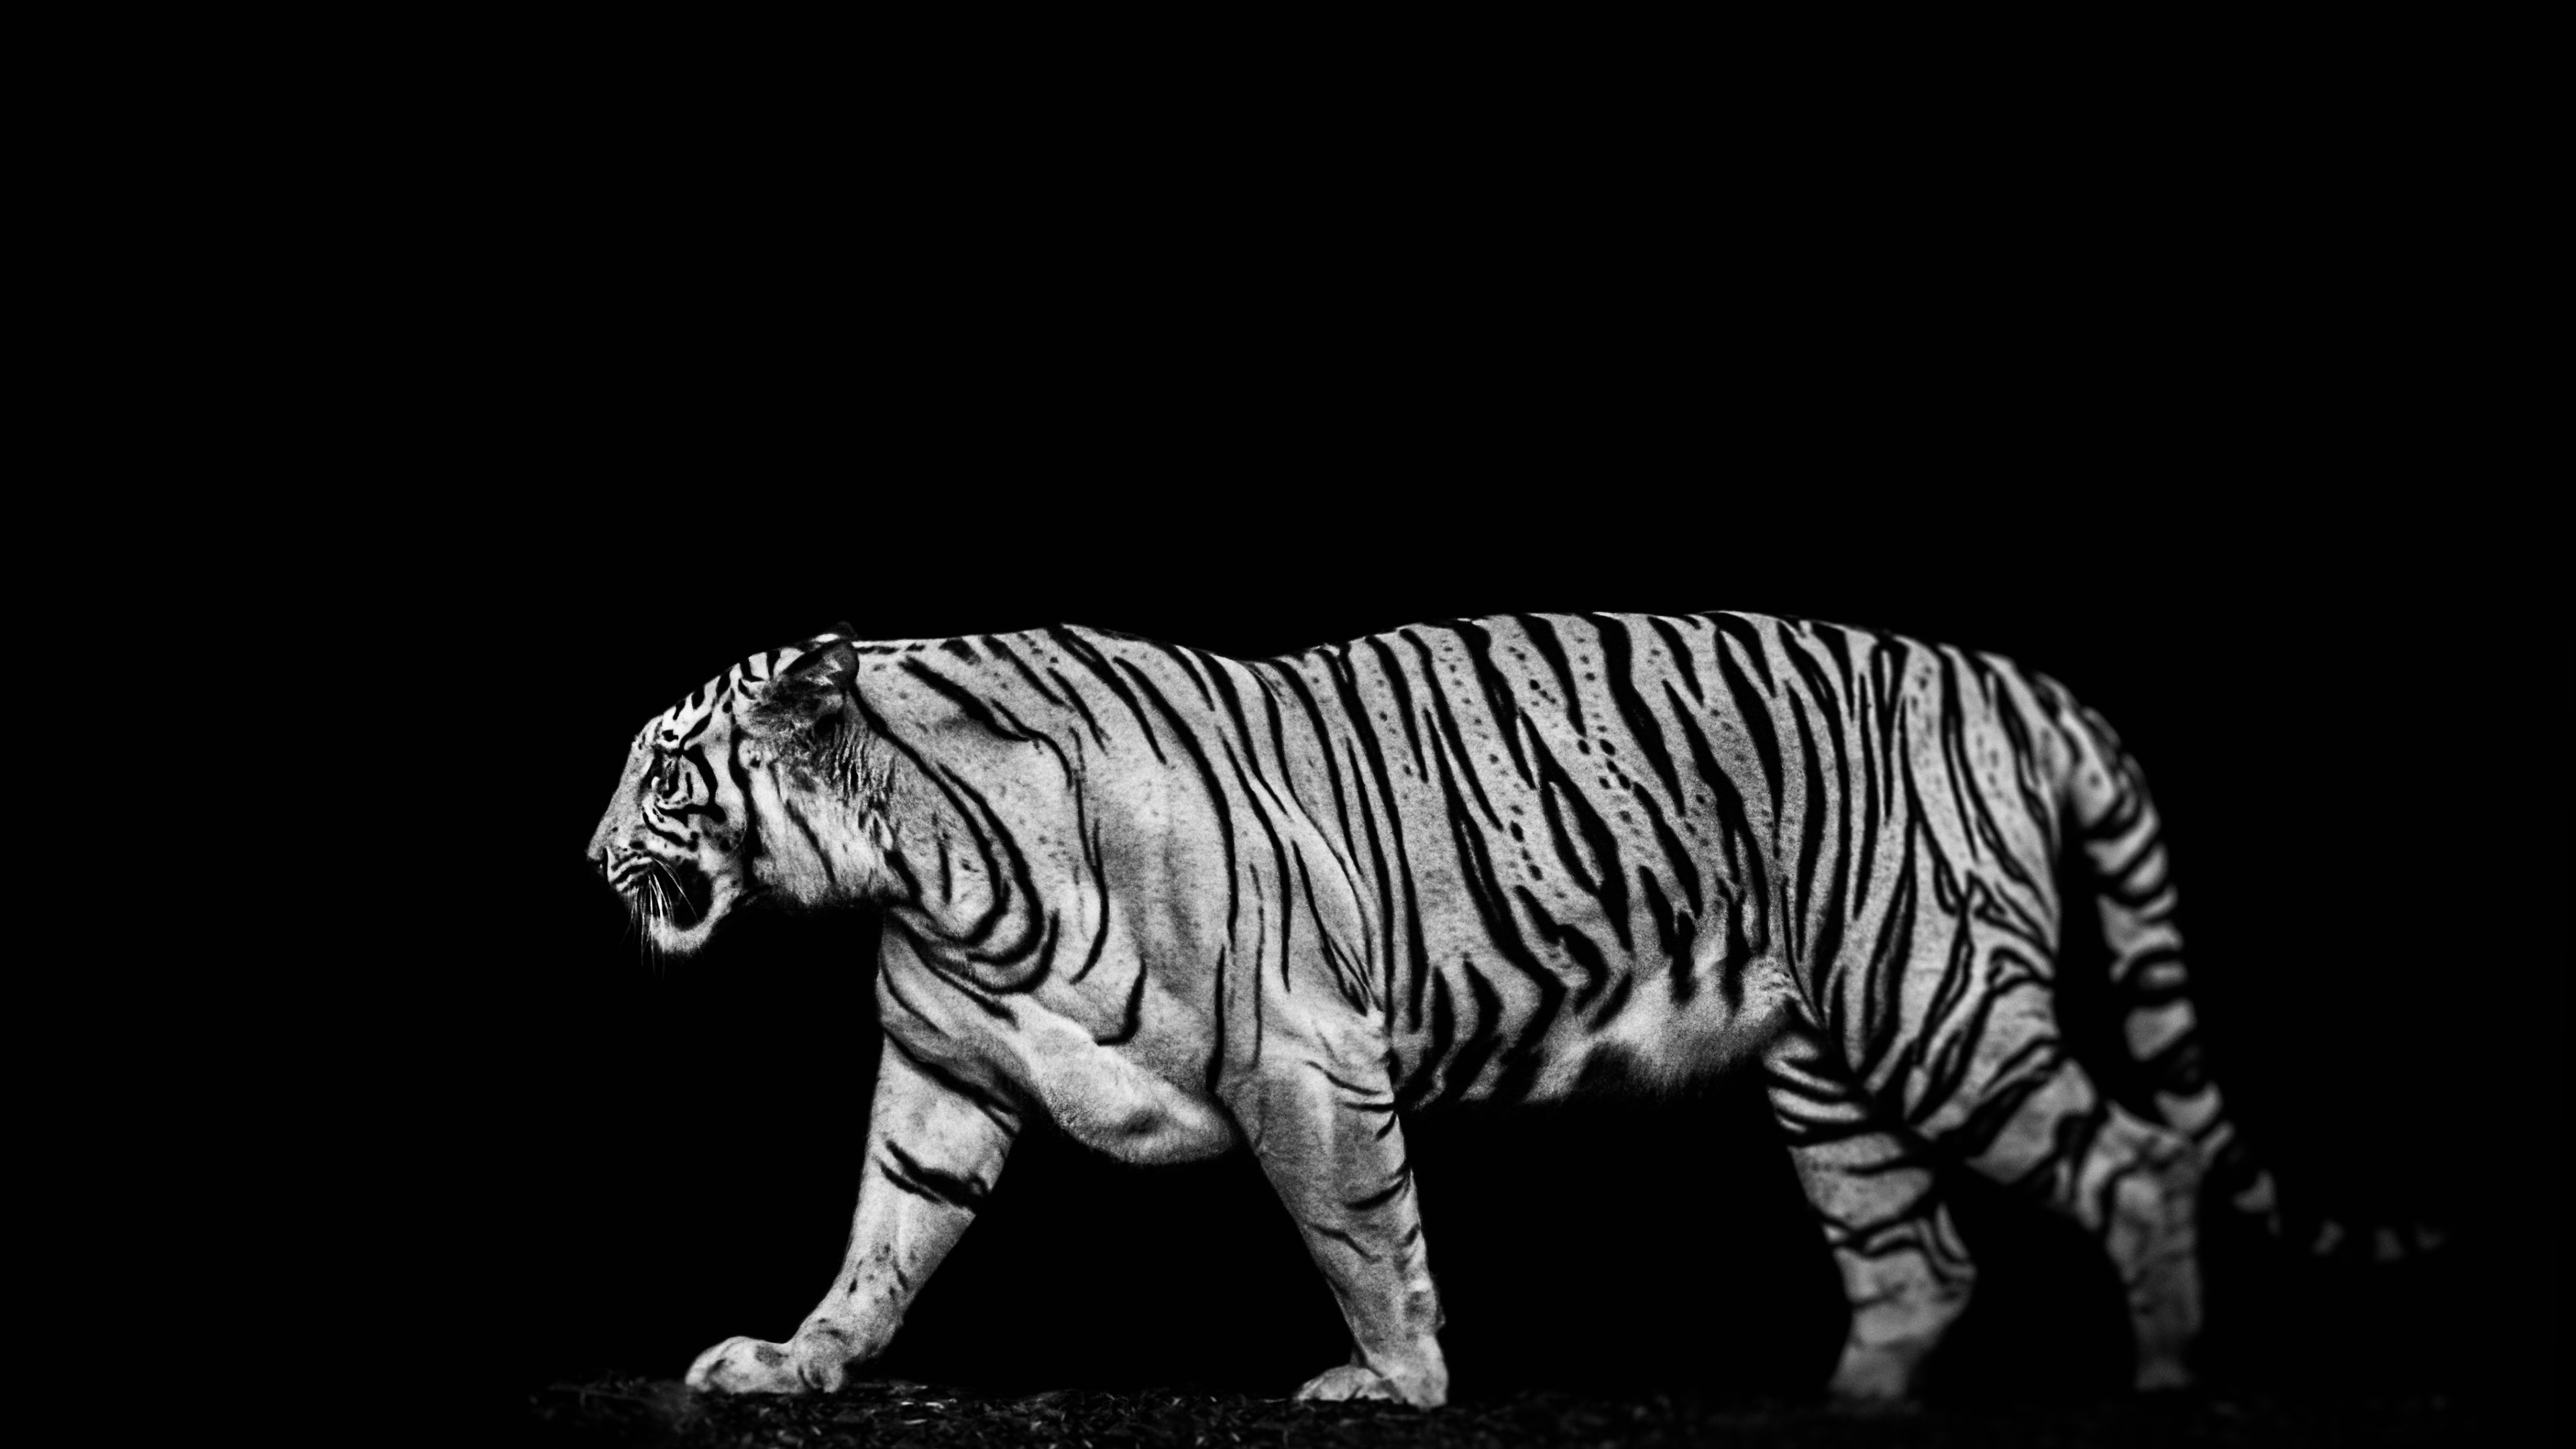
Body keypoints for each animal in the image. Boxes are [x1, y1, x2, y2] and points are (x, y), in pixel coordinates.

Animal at [584, 610, 2288, 1407]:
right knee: (1916, 1262)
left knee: (2136, 1163)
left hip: (1930, 1003)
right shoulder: (948, 1074)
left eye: (664, 771)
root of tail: (2002, 676)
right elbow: (884, 1236)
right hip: (1834, 1078)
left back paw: (2160, 1383)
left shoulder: (1304, 1058)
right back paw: (1849, 1398)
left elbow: (1360, 1236)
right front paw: (795, 1359)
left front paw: (1392, 1383)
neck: (924, 865)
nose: (590, 857)